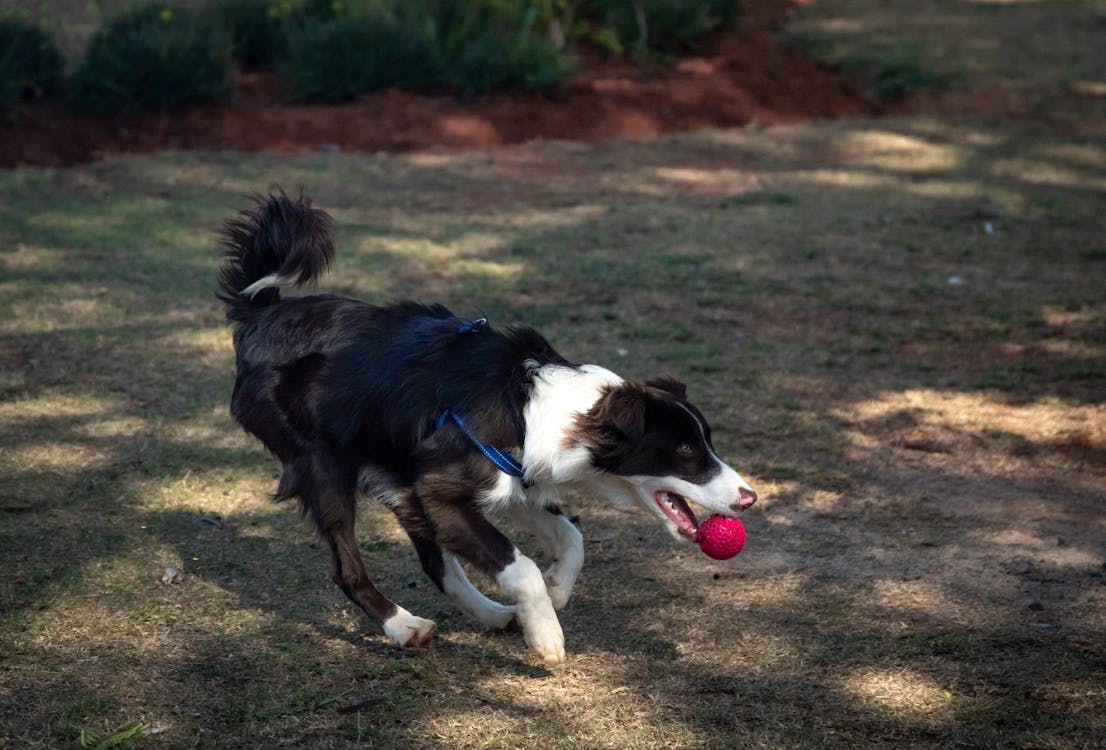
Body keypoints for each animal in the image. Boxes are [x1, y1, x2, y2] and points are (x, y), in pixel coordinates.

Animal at [215, 192, 752, 663]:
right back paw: (403, 626)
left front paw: (556, 592)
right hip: (323, 463)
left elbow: (571, 540)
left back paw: (493, 616)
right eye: (685, 450)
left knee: (437, 565)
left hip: (395, 476)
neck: (534, 409)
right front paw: (547, 635)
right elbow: (520, 564)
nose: (750, 498)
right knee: (348, 567)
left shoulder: (515, 481)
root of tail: (261, 313)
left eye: (706, 442)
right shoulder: (441, 492)